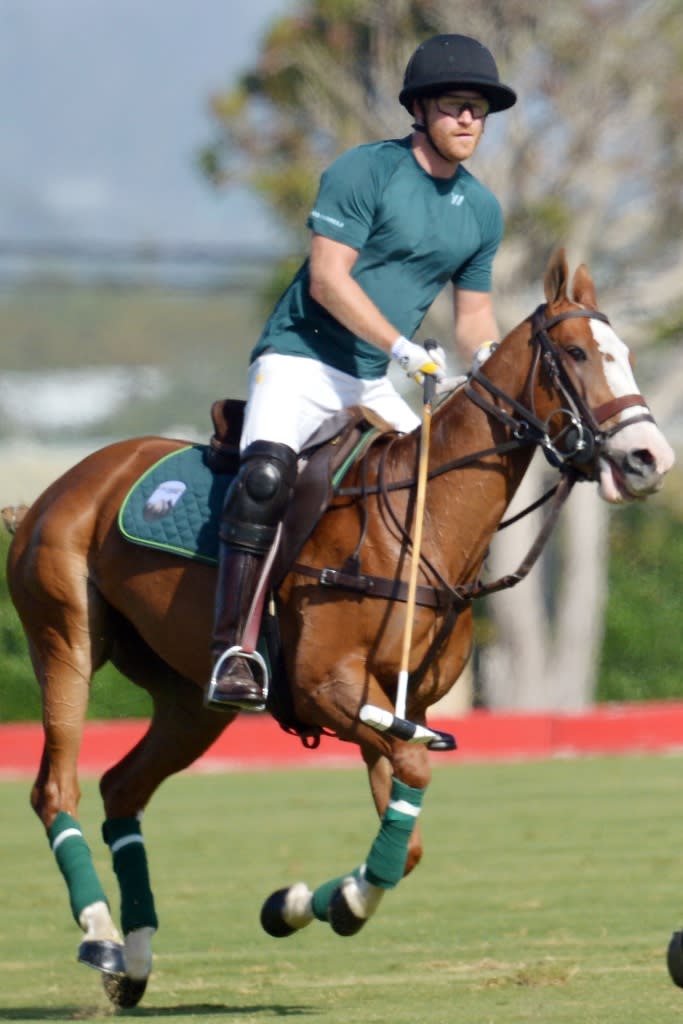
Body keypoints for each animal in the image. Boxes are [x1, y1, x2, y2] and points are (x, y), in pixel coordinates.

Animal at [5, 251, 675, 1003]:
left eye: (625, 353)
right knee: (56, 788)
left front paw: (301, 904)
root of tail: (55, 490)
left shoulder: (401, 705)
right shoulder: (327, 685)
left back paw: (135, 960)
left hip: (191, 699)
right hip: (64, 636)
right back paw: (101, 937)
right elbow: (415, 771)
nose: (649, 458)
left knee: (123, 786)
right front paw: (324, 902)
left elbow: (405, 838)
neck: (421, 523)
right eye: (576, 353)